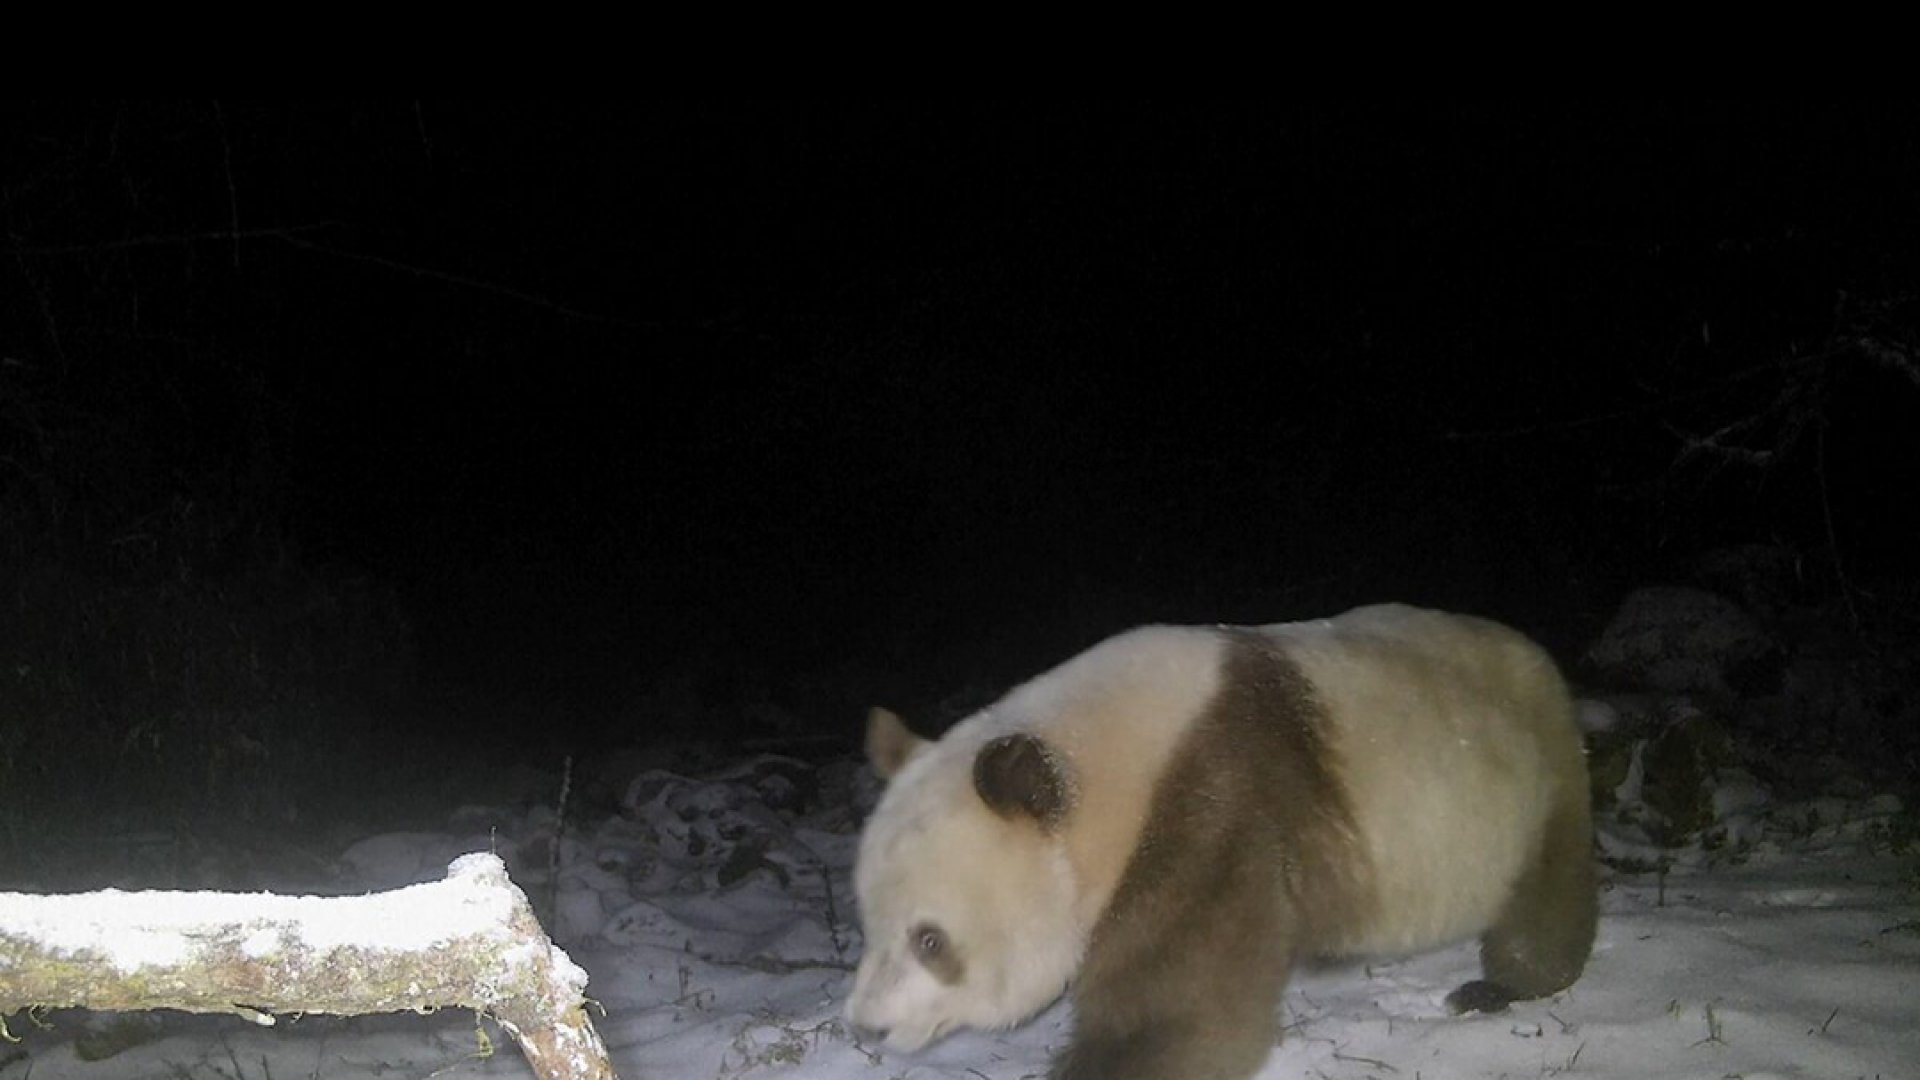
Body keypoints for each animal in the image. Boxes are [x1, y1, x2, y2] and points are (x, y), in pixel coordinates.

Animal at [846, 604, 1596, 1080]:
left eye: (930, 940)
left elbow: (1182, 1011)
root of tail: (1533, 651)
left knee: (1546, 891)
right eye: (869, 926)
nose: (868, 1028)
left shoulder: (1213, 804)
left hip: (1539, 769)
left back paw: (1498, 986)